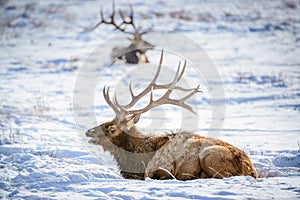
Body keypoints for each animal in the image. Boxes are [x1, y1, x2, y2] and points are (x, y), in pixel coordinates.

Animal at [85, 49, 258, 180]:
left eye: (111, 128)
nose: (88, 131)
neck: (138, 158)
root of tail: (250, 169)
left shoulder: (160, 171)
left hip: (209, 155)